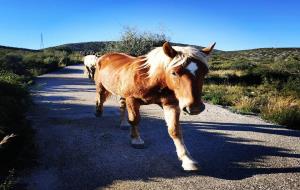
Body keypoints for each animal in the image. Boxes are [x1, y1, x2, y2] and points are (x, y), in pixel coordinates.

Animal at [95, 42, 214, 171]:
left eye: (205, 72)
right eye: (174, 72)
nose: (195, 108)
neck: (149, 79)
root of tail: (104, 56)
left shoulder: (170, 104)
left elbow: (175, 130)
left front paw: (187, 159)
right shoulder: (132, 99)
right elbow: (135, 120)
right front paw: (136, 140)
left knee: (122, 107)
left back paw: (123, 124)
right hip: (101, 86)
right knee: (100, 98)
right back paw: (98, 112)